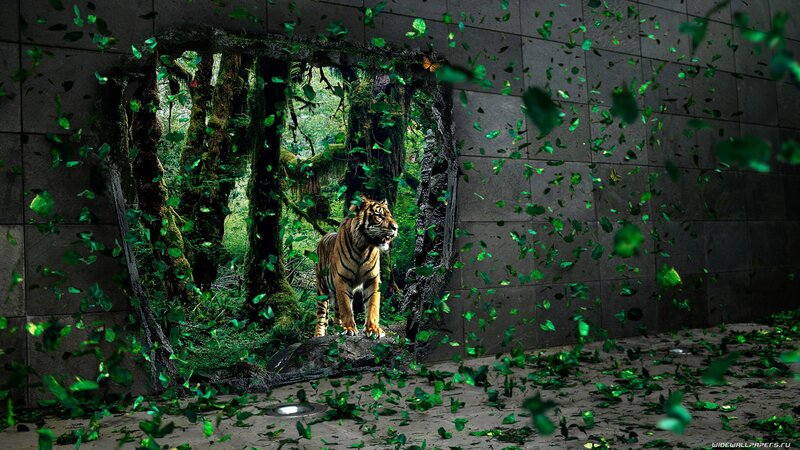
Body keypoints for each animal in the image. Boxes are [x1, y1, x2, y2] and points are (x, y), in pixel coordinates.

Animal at [314, 197, 398, 338]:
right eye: (379, 216)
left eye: (390, 215)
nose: (396, 228)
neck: (363, 247)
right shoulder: (342, 279)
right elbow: (346, 307)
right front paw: (349, 328)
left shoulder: (372, 279)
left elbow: (373, 304)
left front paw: (373, 329)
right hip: (322, 290)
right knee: (321, 317)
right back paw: (319, 335)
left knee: (337, 313)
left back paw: (338, 329)